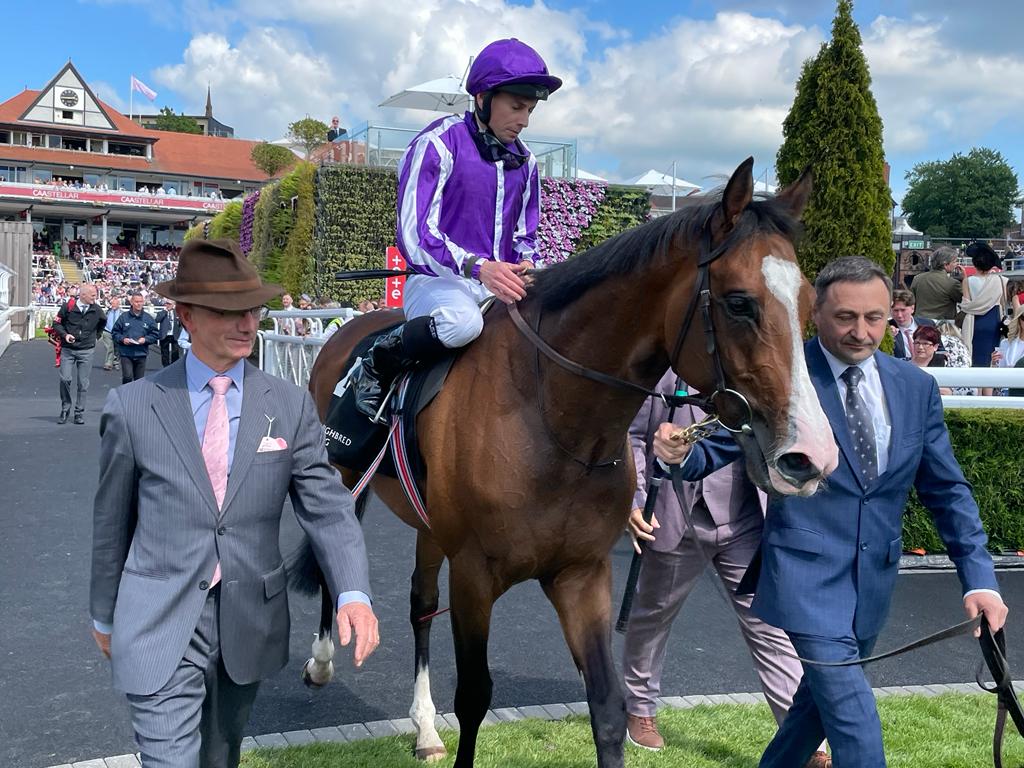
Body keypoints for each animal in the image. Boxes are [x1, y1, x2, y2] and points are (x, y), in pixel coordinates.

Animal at [292, 159, 835, 765]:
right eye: (740, 302)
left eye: (808, 302)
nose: (810, 456)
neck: (552, 418)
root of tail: (346, 330)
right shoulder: (474, 574)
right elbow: (474, 698)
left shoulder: (582, 573)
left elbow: (607, 704)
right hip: (344, 477)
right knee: (332, 556)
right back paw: (321, 663)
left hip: (429, 522)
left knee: (420, 601)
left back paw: (425, 727)